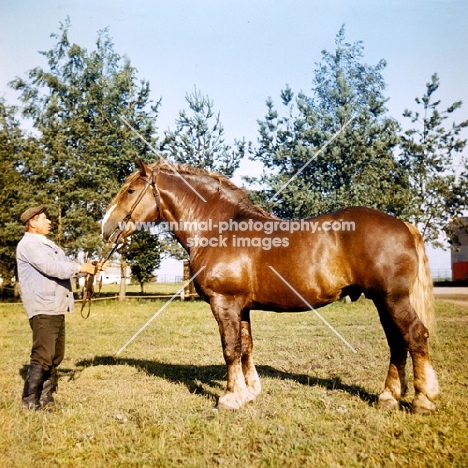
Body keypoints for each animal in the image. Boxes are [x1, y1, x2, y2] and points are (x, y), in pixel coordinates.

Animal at [101, 160, 438, 414]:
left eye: (131, 190)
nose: (105, 227)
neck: (220, 228)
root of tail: (404, 224)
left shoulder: (224, 303)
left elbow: (230, 349)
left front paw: (230, 398)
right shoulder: (241, 307)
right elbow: (246, 347)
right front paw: (249, 392)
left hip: (393, 299)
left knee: (415, 336)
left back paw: (423, 399)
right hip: (383, 301)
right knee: (397, 343)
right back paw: (389, 397)